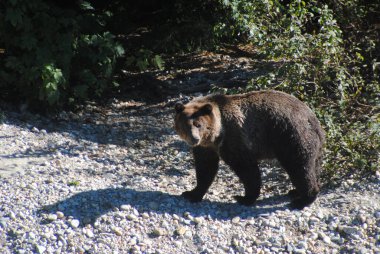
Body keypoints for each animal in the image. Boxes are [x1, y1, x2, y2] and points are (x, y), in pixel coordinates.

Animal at [174, 90, 326, 209]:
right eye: (185, 126)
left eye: (198, 124)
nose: (194, 139)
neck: (216, 136)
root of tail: (312, 118)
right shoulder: (206, 148)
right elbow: (205, 168)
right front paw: (191, 193)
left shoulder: (234, 139)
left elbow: (246, 168)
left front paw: (244, 197)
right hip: (311, 143)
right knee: (313, 165)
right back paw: (297, 191)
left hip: (291, 136)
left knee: (299, 167)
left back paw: (303, 199)